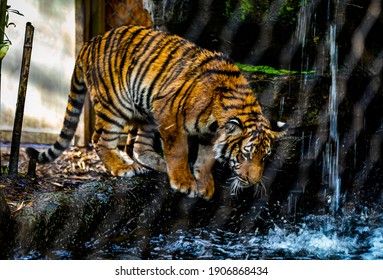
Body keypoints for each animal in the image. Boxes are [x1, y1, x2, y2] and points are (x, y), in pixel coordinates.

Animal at [27, 24, 290, 199]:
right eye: (246, 154)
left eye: (264, 157)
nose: (252, 182)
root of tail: (90, 42)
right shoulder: (170, 114)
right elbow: (178, 150)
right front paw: (184, 181)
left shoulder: (207, 134)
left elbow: (206, 159)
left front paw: (204, 184)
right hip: (116, 104)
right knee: (100, 138)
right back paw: (122, 168)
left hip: (146, 111)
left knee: (139, 148)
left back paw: (157, 165)